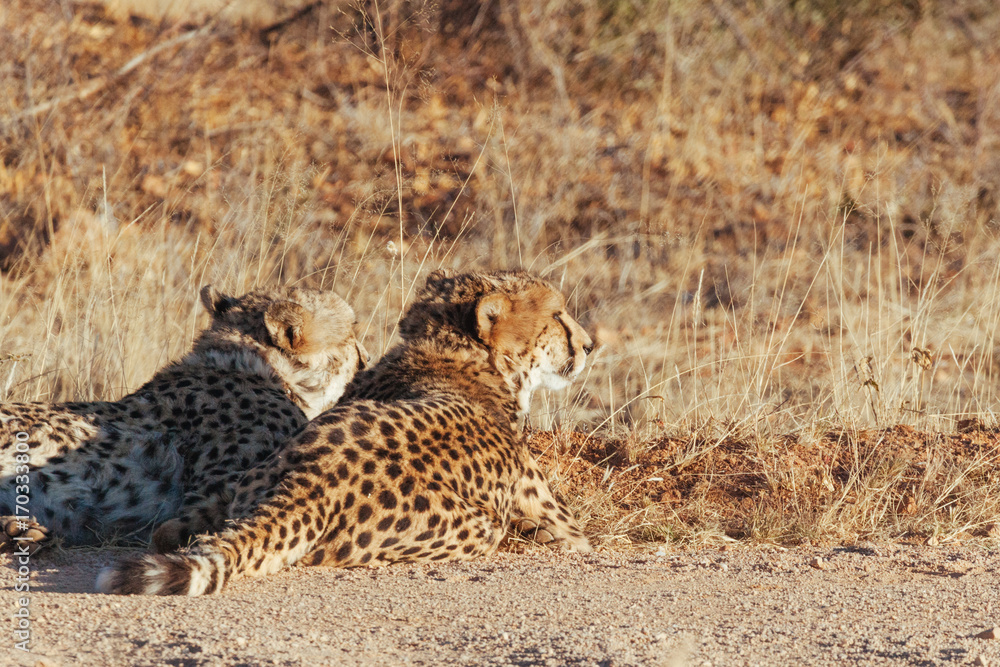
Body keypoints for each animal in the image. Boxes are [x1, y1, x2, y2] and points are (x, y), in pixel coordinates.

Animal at [97, 269, 595, 596]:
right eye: (558, 315)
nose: (590, 345)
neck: (449, 353)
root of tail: (309, 490)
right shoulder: (565, 526)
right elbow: (574, 538)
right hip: (479, 528)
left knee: (175, 530)